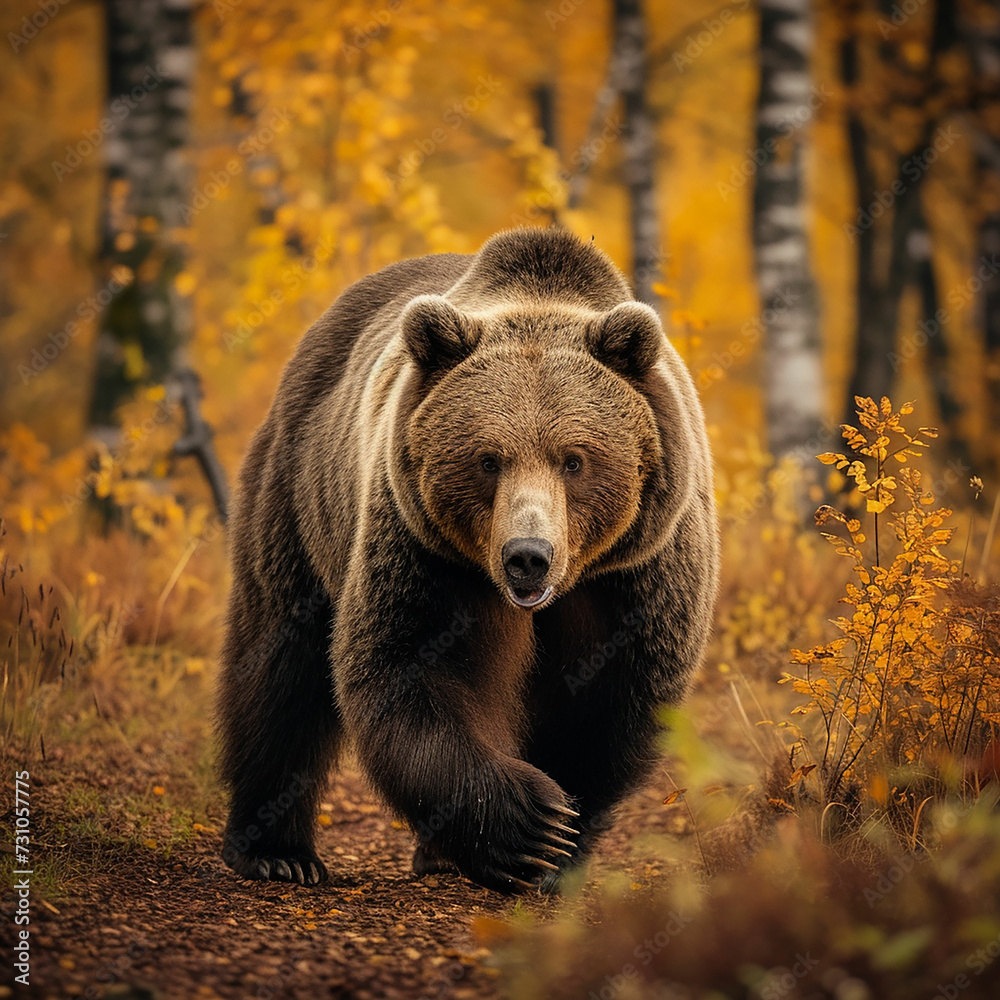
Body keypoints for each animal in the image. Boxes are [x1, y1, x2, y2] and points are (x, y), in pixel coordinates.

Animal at [216, 226, 719, 894]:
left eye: (574, 459)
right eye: (488, 459)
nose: (528, 557)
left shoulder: (636, 570)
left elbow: (608, 701)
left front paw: (558, 843)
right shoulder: (425, 551)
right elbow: (411, 667)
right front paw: (527, 825)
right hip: (299, 493)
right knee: (279, 661)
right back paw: (276, 851)